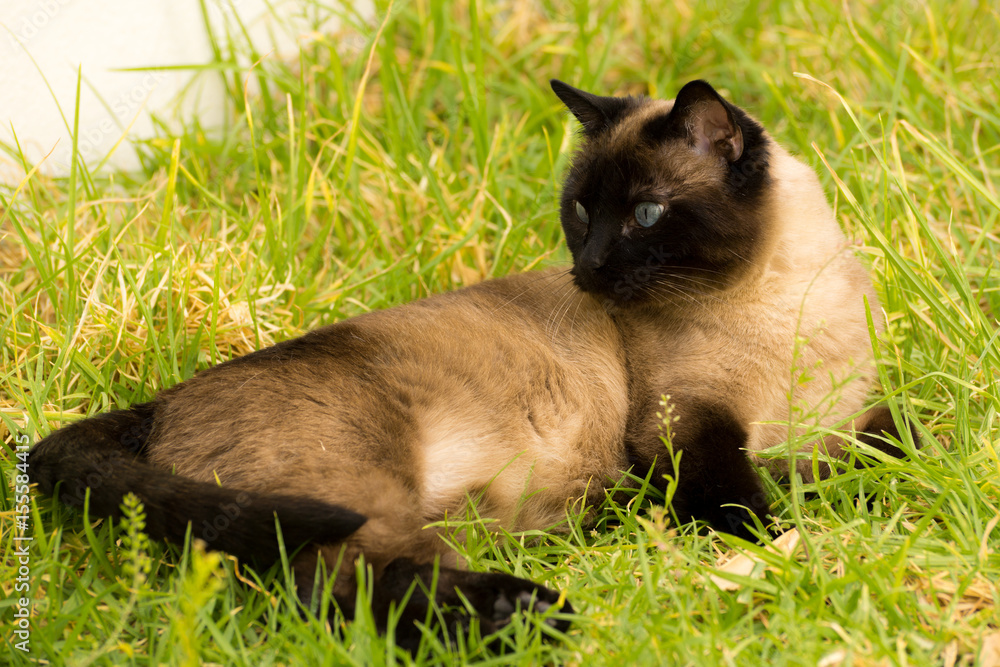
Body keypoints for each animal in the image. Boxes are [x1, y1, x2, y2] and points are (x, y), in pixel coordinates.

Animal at [25, 77, 916, 648]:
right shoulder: (684, 428)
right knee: (338, 592)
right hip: (362, 488)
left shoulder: (848, 416)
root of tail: (159, 402)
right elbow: (747, 500)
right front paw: (792, 540)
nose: (589, 268)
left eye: (645, 214)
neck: (778, 302)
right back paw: (536, 616)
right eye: (583, 210)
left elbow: (904, 441)